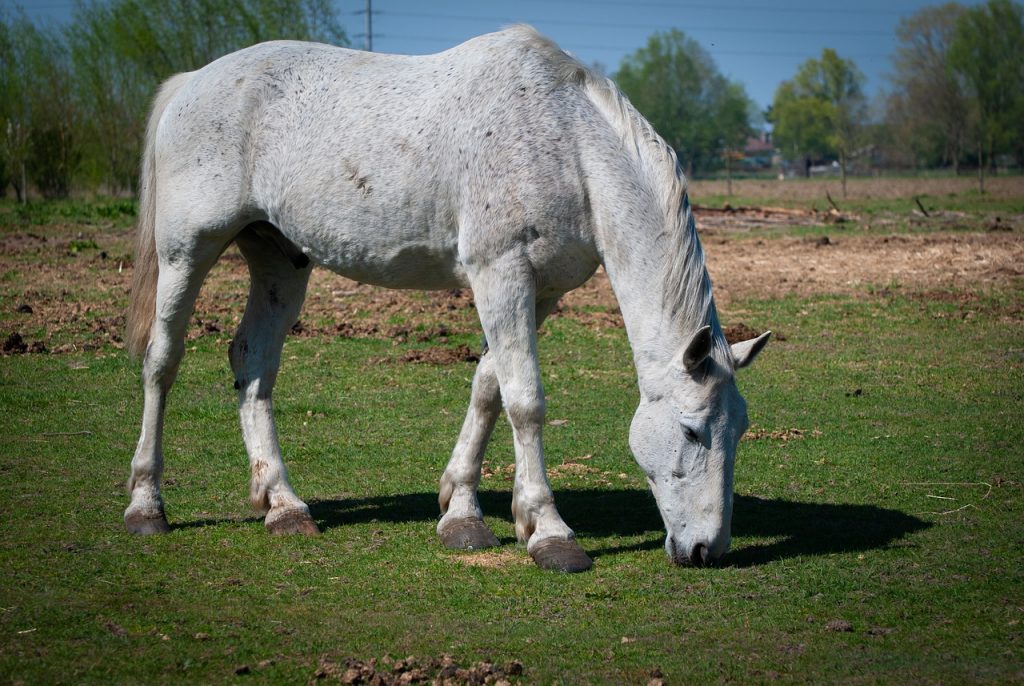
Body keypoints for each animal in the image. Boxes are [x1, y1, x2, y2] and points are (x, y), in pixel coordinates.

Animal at [123, 25, 770, 573]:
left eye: (738, 431)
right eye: (692, 431)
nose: (708, 550)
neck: (563, 141)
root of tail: (192, 82)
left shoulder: (540, 291)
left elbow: (489, 388)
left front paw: (464, 514)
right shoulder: (500, 274)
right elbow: (526, 401)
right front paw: (551, 533)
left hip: (281, 262)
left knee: (253, 363)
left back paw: (284, 505)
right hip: (187, 253)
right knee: (162, 362)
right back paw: (147, 506)